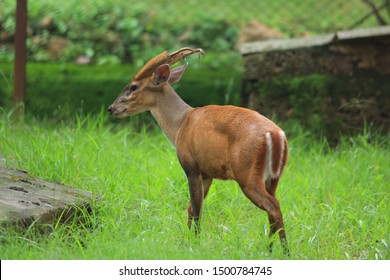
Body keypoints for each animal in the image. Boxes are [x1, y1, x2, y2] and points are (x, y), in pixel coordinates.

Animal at [108, 46, 288, 254]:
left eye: (133, 87)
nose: (111, 108)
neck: (180, 124)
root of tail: (276, 135)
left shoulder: (191, 166)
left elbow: (196, 208)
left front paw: (193, 243)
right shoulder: (207, 173)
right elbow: (192, 207)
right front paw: (187, 240)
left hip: (247, 174)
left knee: (273, 206)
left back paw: (283, 251)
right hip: (273, 178)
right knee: (273, 207)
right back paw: (270, 250)